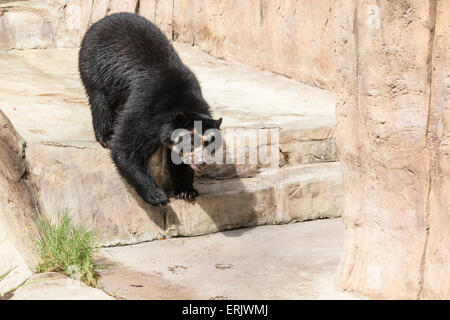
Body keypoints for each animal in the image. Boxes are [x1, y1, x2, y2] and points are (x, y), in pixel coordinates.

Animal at [80, 12, 223, 206]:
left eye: (210, 144)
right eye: (191, 142)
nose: (201, 163)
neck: (181, 102)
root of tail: (104, 20)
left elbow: (176, 159)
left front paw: (186, 190)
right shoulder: (146, 108)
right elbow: (126, 147)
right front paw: (158, 196)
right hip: (96, 67)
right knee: (100, 101)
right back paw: (106, 136)